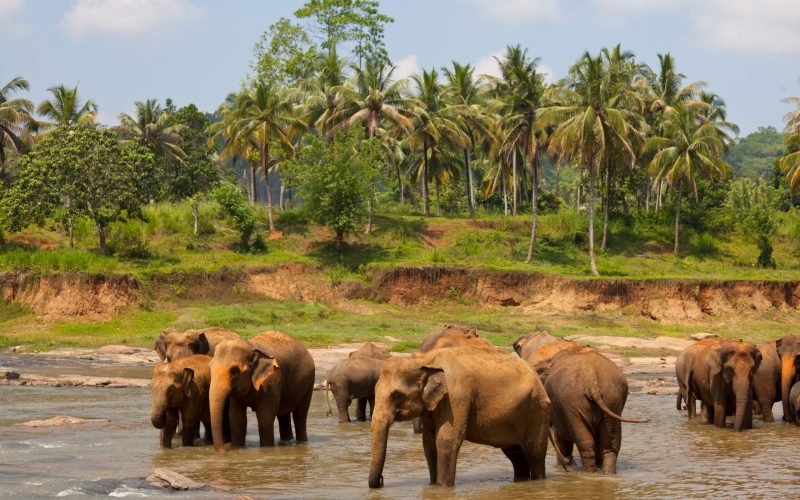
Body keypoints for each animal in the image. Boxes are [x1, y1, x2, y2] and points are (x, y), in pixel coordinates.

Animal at [368, 346, 551, 488]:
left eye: (396, 395)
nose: (381, 481)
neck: (425, 358)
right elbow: (429, 443)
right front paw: (432, 485)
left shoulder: (456, 396)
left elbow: (446, 439)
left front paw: (442, 487)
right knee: (515, 454)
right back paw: (520, 480)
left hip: (537, 409)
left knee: (535, 452)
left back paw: (537, 481)